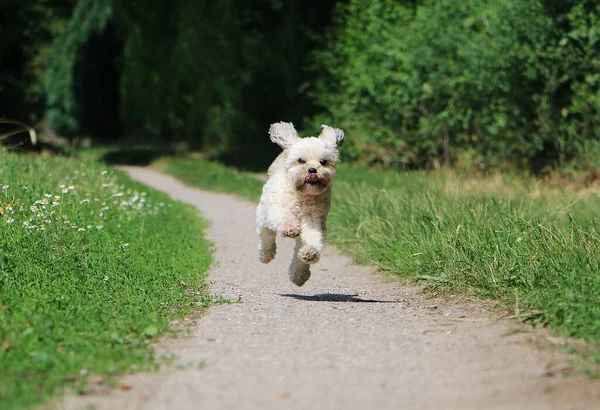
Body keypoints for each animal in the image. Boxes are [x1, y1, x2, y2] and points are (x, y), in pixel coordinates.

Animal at [255, 122, 344, 286]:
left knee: (297, 251)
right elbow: (283, 217)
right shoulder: (276, 209)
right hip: (263, 216)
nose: (312, 170)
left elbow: (313, 238)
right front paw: (290, 228)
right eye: (301, 160)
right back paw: (266, 254)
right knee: (266, 236)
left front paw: (310, 253)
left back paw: (299, 276)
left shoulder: (314, 222)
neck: (303, 196)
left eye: (323, 161)